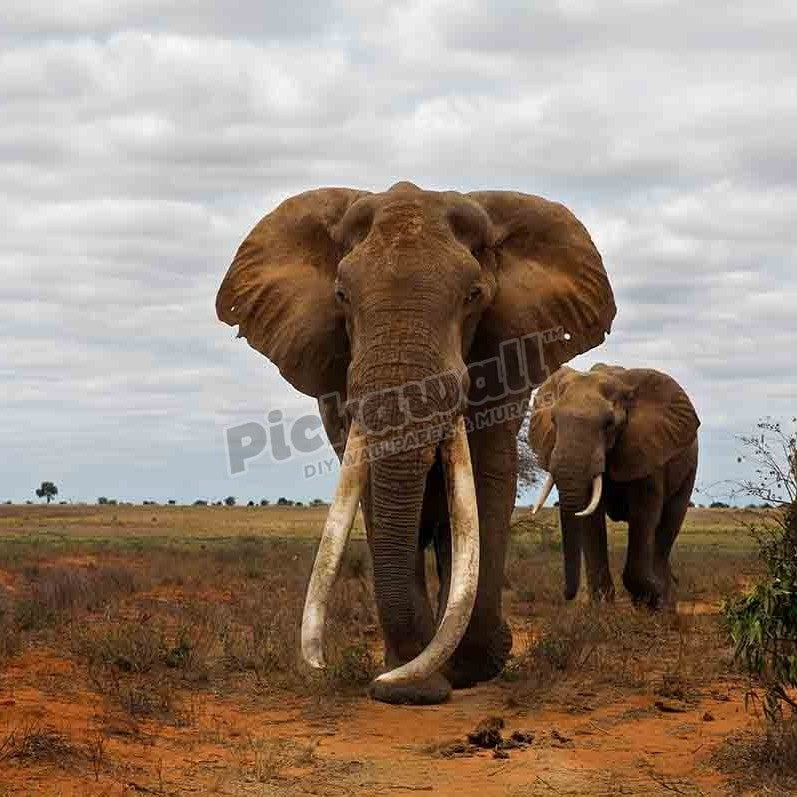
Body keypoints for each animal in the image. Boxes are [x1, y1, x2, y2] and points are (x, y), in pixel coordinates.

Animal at [216, 182, 616, 704]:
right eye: (341, 296)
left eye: (473, 296)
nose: (324, 666)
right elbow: (372, 492)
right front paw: (412, 684)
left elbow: (484, 483)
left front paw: (469, 669)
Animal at [529, 364, 700, 609]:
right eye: (553, 421)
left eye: (609, 424)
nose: (566, 595)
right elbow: (591, 518)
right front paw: (601, 607)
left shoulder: (646, 450)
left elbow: (643, 515)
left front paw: (654, 598)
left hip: (688, 466)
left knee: (669, 523)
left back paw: (665, 601)